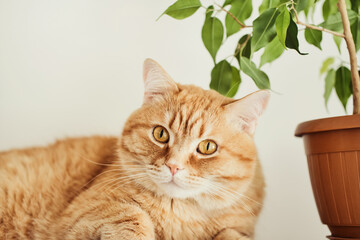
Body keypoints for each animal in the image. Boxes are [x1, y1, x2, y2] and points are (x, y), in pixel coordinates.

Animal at [0, 58, 268, 240]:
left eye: (207, 147)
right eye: (160, 134)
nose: (173, 166)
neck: (179, 217)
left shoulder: (239, 228)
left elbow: (231, 234)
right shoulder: (73, 217)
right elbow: (132, 213)